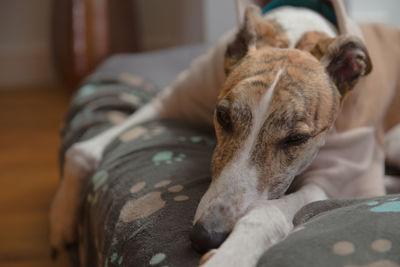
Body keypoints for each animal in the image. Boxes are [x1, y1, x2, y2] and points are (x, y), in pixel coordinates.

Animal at [50, 1, 400, 266]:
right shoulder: (168, 102)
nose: (206, 237)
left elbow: (270, 210)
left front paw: (230, 254)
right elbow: (82, 151)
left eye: (297, 139)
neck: (298, 32)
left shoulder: (346, 178)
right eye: (222, 116)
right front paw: (63, 221)